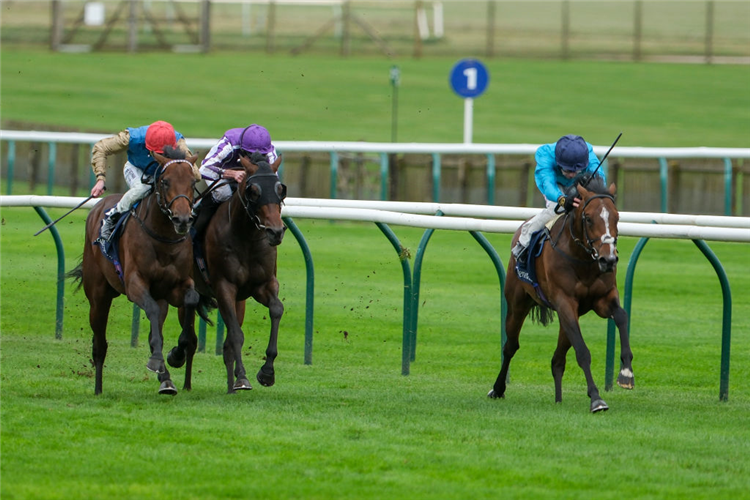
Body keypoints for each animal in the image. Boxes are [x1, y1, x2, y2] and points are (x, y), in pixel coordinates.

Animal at [69, 147, 200, 394]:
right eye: (165, 182)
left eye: (193, 181)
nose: (182, 219)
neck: (163, 239)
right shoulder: (135, 284)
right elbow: (152, 315)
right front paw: (160, 361)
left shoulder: (178, 285)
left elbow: (191, 300)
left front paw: (176, 355)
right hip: (98, 295)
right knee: (100, 343)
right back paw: (98, 388)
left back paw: (166, 380)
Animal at [169, 152, 286, 394]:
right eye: (254, 191)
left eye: (280, 189)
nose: (276, 231)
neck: (246, 237)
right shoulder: (224, 287)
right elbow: (235, 335)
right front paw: (243, 377)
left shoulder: (263, 285)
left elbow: (276, 309)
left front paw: (266, 372)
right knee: (190, 337)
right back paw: (182, 371)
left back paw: (229, 386)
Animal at [494, 180, 636, 414]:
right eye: (588, 218)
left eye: (617, 217)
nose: (608, 260)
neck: (582, 260)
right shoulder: (565, 302)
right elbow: (582, 352)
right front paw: (596, 398)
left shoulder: (602, 299)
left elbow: (622, 316)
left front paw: (626, 373)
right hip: (517, 303)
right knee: (510, 347)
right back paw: (497, 389)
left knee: (557, 360)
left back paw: (558, 399)